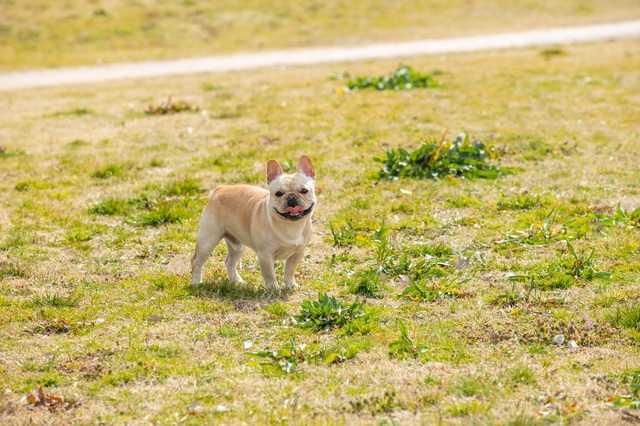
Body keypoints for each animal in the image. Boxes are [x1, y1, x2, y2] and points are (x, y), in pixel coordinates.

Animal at [192, 155, 318, 292]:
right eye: (278, 193)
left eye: (304, 190)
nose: (291, 197)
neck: (290, 225)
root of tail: (220, 189)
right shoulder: (265, 255)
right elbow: (270, 274)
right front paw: (274, 289)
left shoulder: (298, 253)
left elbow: (289, 270)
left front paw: (290, 285)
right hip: (208, 241)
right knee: (196, 261)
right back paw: (196, 282)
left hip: (237, 246)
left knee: (229, 261)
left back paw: (236, 281)